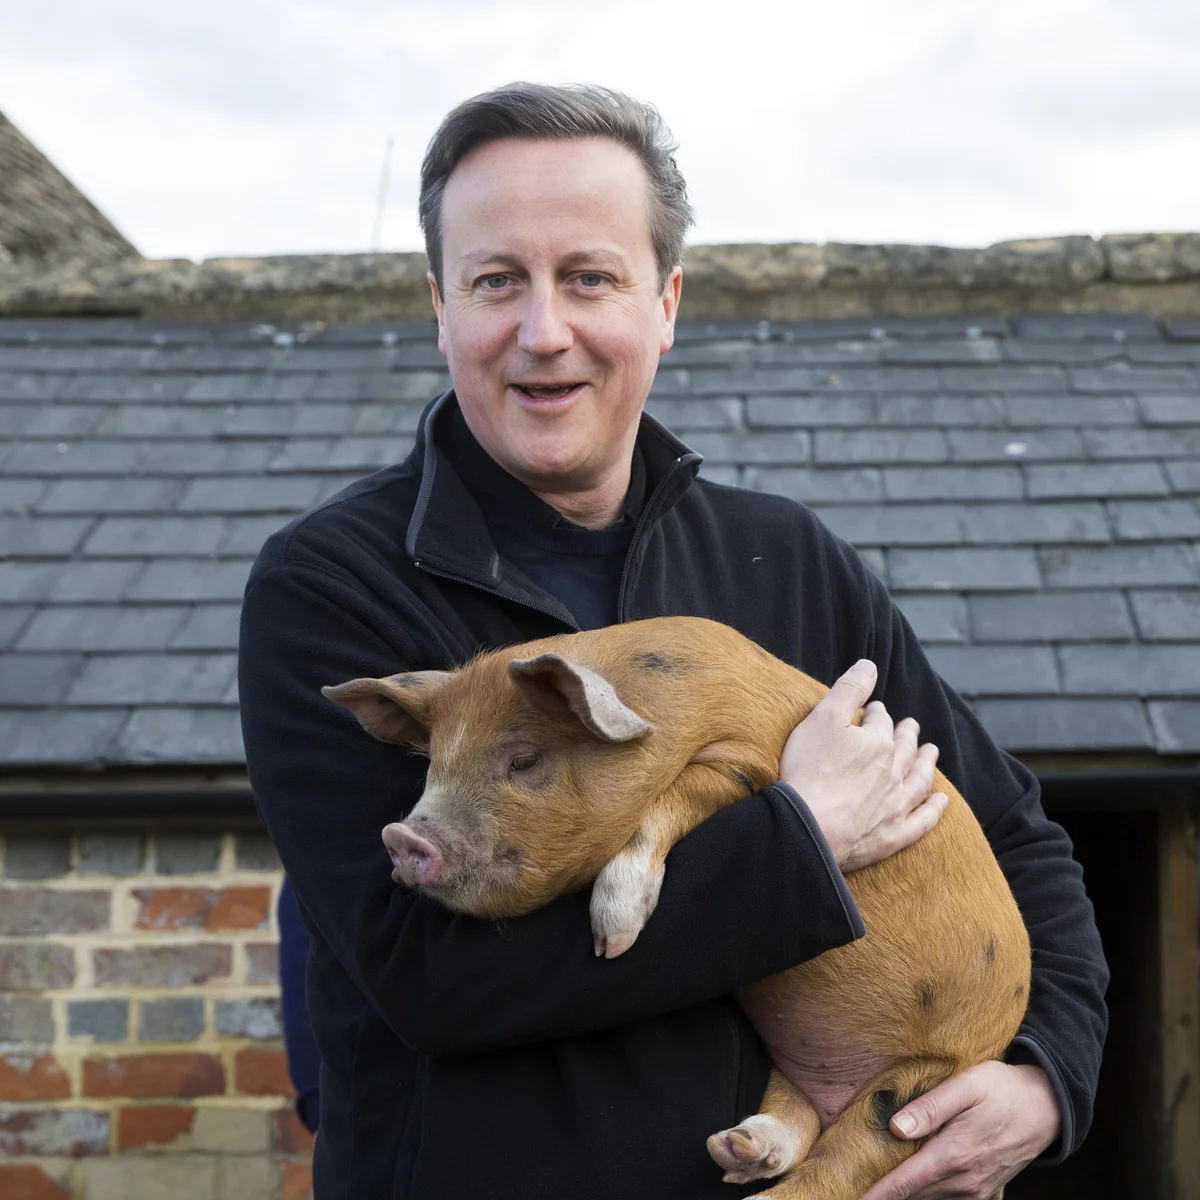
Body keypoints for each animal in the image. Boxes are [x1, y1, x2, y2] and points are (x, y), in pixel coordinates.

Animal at [324, 616, 1031, 1200]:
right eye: (433, 765)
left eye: (523, 759)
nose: (401, 836)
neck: (666, 709)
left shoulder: (745, 763)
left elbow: (681, 792)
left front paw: (612, 941)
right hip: (811, 1063)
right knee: (796, 1120)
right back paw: (736, 1148)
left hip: (923, 1086)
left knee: (841, 1166)